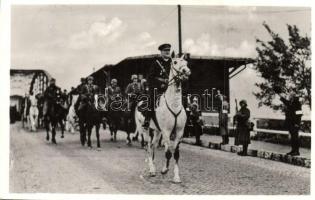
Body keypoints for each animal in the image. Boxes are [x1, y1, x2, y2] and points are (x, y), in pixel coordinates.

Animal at [135, 53, 190, 183]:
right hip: (145, 130)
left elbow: (175, 153)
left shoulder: (179, 132)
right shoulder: (166, 131)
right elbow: (168, 152)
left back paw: (153, 167)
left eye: (186, 62)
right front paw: (164, 170)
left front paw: (176, 176)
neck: (174, 105)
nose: (186, 72)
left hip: (156, 131)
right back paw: (151, 169)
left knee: (153, 146)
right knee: (148, 147)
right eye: (175, 62)